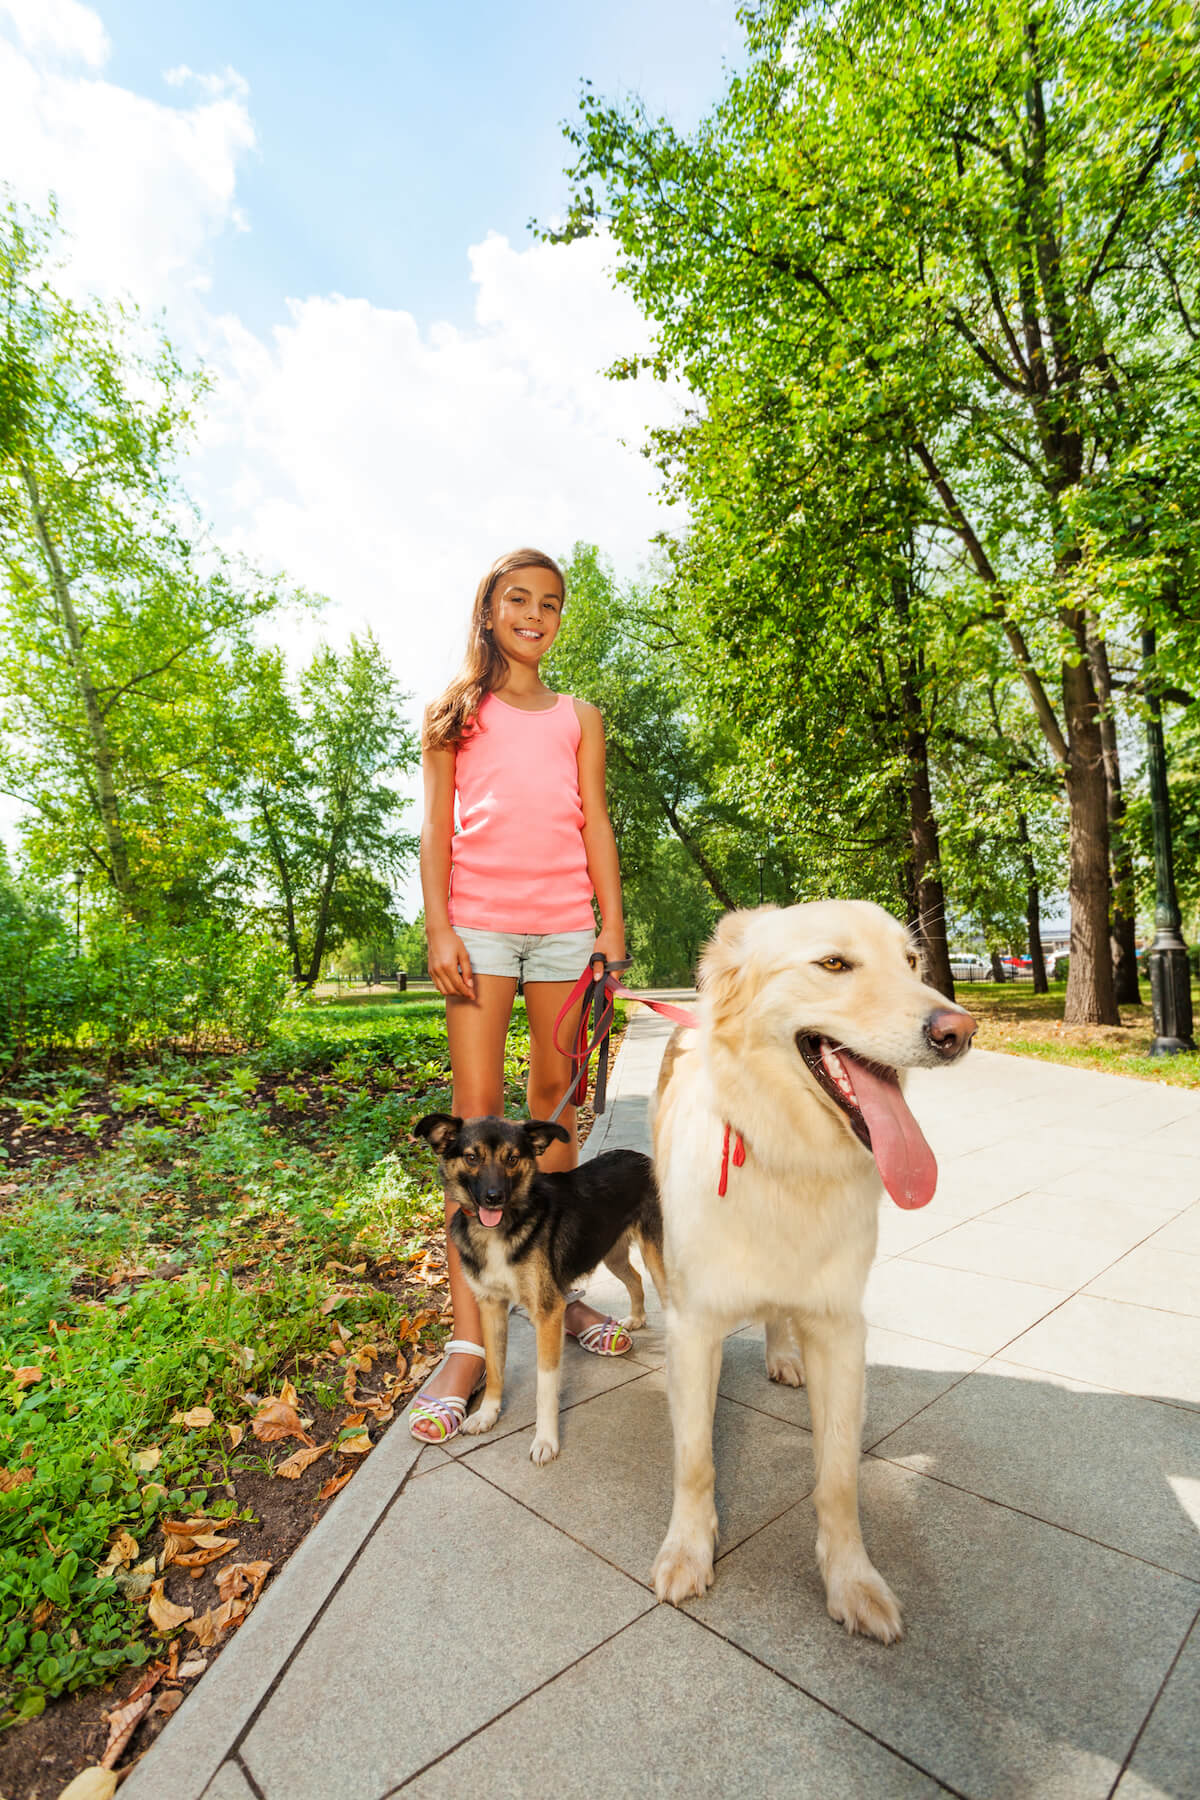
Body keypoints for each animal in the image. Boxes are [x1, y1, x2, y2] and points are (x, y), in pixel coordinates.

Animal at [415, 1116, 672, 1468]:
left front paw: (546, 1440)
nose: (494, 1197)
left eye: (512, 1158)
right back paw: (636, 1317)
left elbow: (545, 1388)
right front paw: (487, 1414)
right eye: (472, 1157)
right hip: (609, 1251)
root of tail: (641, 1157)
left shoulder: (549, 1313)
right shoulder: (491, 1306)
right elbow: (495, 1367)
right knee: (633, 1276)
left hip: (655, 1255)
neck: (499, 1230)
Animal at [647, 900, 978, 1648]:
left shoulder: (839, 1331)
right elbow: (693, 1457)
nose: (959, 1031)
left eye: (911, 963)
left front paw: (851, 1581)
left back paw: (782, 1355)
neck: (788, 1156)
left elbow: (838, 1479)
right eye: (833, 963)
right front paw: (688, 1550)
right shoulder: (693, 1327)